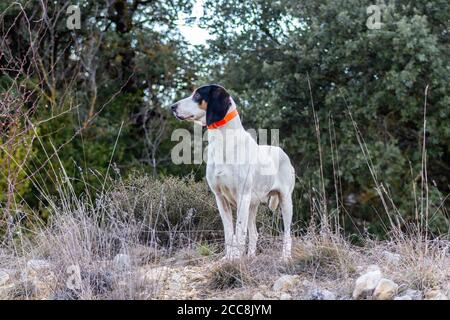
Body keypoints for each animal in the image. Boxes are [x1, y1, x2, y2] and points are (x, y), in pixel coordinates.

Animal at [170, 84, 296, 260]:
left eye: (197, 95)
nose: (172, 107)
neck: (223, 141)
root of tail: (284, 153)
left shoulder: (242, 196)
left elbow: (239, 231)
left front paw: (236, 259)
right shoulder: (220, 198)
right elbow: (229, 233)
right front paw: (229, 258)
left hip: (285, 201)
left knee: (287, 234)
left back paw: (285, 257)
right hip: (252, 205)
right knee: (254, 233)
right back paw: (250, 257)